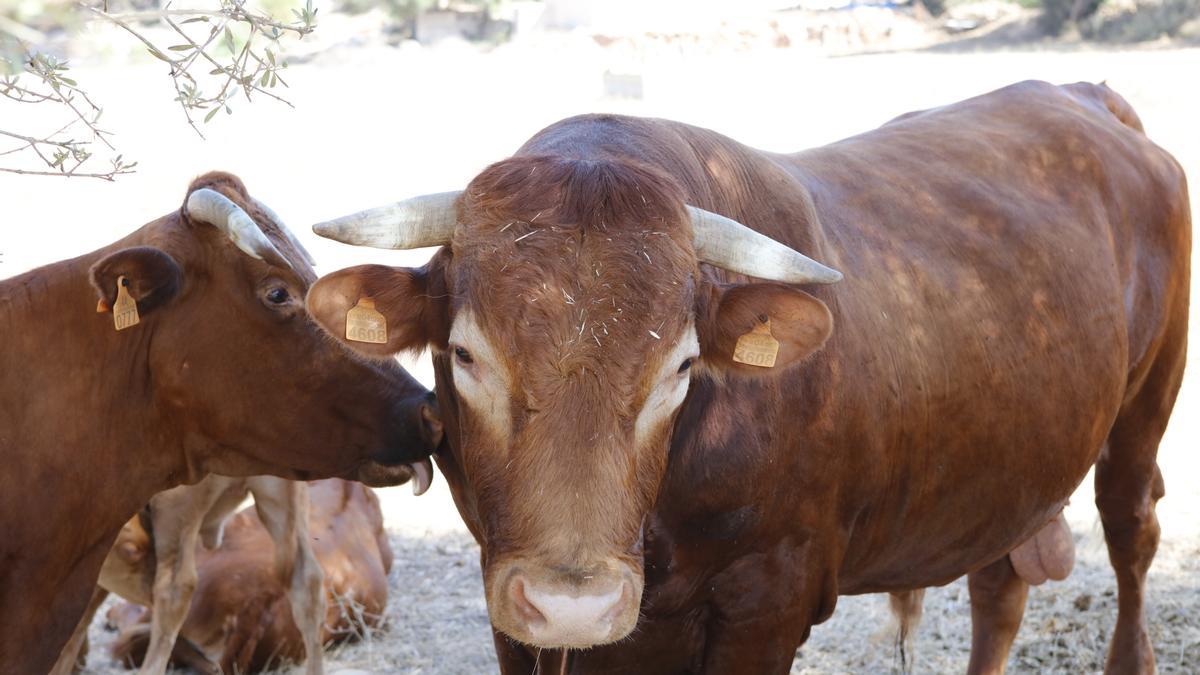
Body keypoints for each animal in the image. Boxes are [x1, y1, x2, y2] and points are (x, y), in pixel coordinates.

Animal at [307, 81, 1190, 667]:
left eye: (682, 365)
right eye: (465, 354)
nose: (573, 604)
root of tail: (1085, 98)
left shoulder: (769, 600)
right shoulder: (511, 605)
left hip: (1147, 404)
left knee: (1130, 532)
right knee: (998, 587)